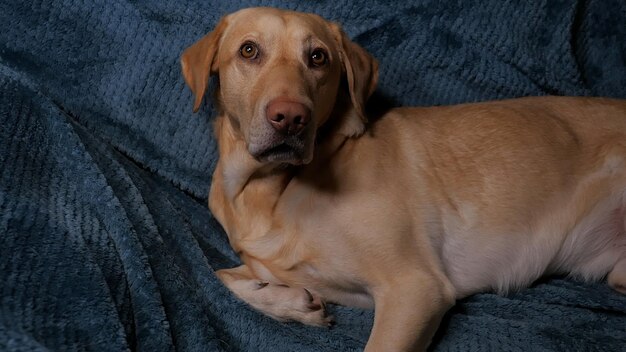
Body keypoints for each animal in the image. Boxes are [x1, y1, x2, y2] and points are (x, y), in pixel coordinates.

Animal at [178, 6, 620, 352]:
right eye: (249, 50)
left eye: (318, 57)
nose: (290, 117)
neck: (270, 190)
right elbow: (217, 273)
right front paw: (285, 301)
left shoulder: (414, 288)